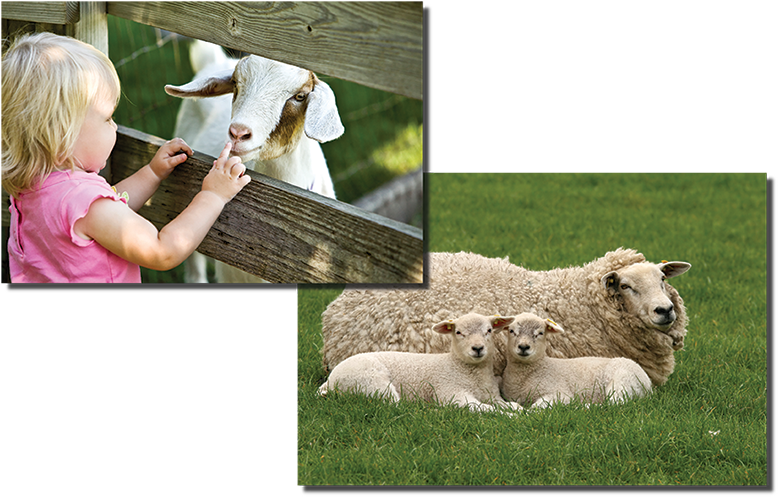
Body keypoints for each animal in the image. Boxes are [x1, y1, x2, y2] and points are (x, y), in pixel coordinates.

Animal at [318, 313, 521, 414]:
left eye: (489, 330)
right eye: (458, 332)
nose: (478, 348)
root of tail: (330, 380)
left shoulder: (492, 396)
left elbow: (510, 405)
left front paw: (518, 411)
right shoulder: (452, 393)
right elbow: (483, 408)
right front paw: (509, 417)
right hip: (371, 382)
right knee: (395, 406)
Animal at [500, 313, 652, 408]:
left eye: (540, 333)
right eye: (512, 331)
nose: (523, 347)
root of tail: (648, 384)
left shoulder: (558, 393)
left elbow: (535, 408)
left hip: (623, 382)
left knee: (615, 404)